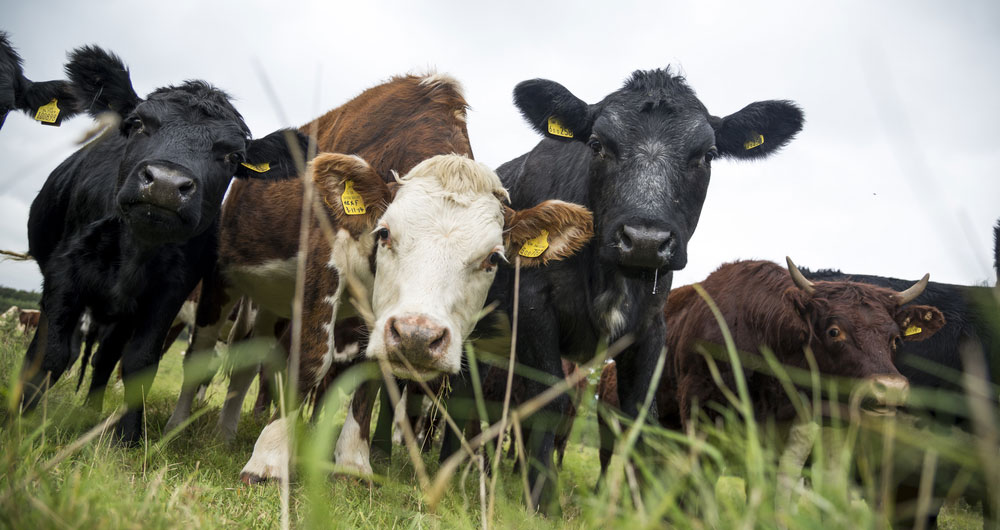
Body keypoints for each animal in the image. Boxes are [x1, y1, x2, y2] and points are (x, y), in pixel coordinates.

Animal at [18, 46, 308, 442]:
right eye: (138, 123)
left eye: (231, 156)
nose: (167, 184)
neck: (136, 246)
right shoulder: (63, 273)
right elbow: (51, 353)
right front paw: (24, 424)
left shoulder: (169, 291)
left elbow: (140, 362)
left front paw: (127, 436)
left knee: (105, 357)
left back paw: (91, 411)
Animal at [488, 68, 808, 510]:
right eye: (597, 144)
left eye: (707, 155)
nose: (643, 239)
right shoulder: (533, 306)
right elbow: (549, 400)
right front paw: (540, 500)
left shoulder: (651, 326)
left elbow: (642, 416)